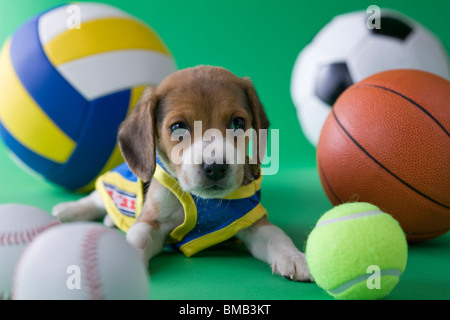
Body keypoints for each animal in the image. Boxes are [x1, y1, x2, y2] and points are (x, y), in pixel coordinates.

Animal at [52, 66, 312, 282]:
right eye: (178, 127)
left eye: (238, 123)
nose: (215, 167)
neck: (204, 202)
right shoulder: (152, 221)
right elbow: (139, 236)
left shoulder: (251, 221)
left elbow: (277, 236)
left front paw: (294, 256)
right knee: (96, 198)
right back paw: (69, 210)